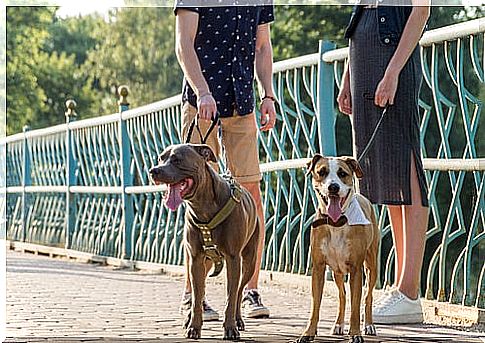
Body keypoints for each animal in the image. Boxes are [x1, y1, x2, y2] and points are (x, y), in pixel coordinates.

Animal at [149, 143, 260, 342]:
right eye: (161, 158)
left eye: (177, 159)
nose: (154, 170)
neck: (202, 206)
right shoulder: (195, 259)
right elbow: (197, 294)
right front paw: (193, 326)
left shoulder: (233, 258)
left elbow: (231, 295)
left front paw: (230, 328)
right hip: (205, 262)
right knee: (199, 292)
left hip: (249, 261)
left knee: (240, 290)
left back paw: (238, 319)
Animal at [296, 155, 380, 343]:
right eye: (321, 172)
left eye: (342, 173)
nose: (333, 187)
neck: (336, 224)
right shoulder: (318, 267)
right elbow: (315, 305)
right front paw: (308, 332)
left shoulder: (356, 269)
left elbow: (356, 305)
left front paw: (355, 333)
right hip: (337, 272)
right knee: (342, 295)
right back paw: (338, 325)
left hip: (371, 265)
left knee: (368, 295)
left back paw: (369, 325)